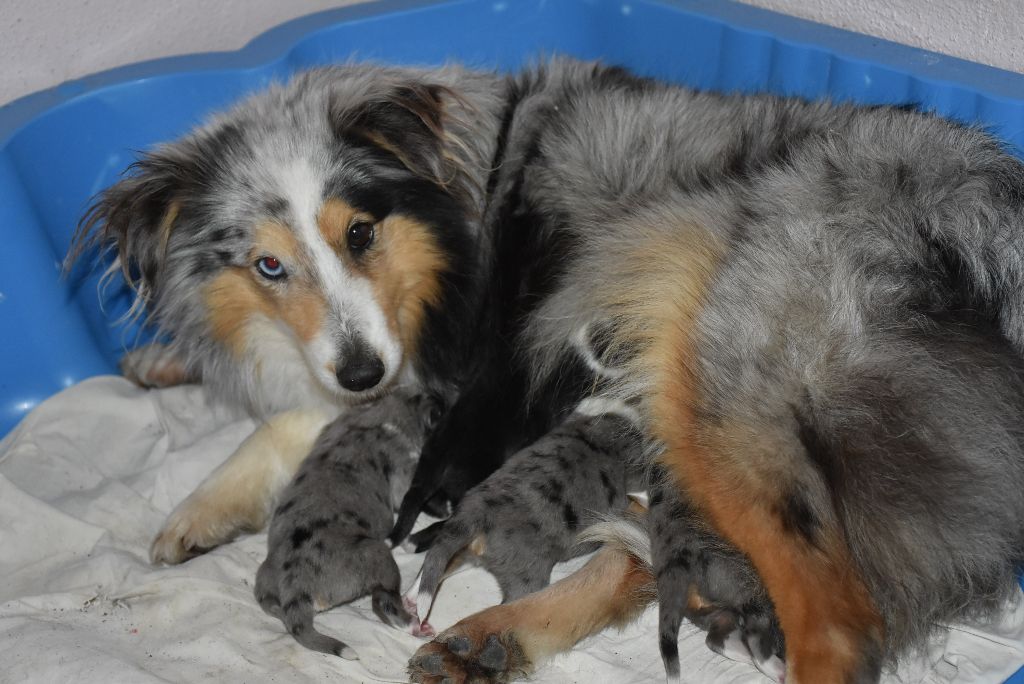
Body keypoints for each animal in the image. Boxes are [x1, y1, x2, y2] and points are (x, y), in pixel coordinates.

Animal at [256, 387, 440, 655]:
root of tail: (294, 586)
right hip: (376, 555)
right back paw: (415, 625)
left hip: (264, 585)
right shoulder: (404, 469)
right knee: (383, 602)